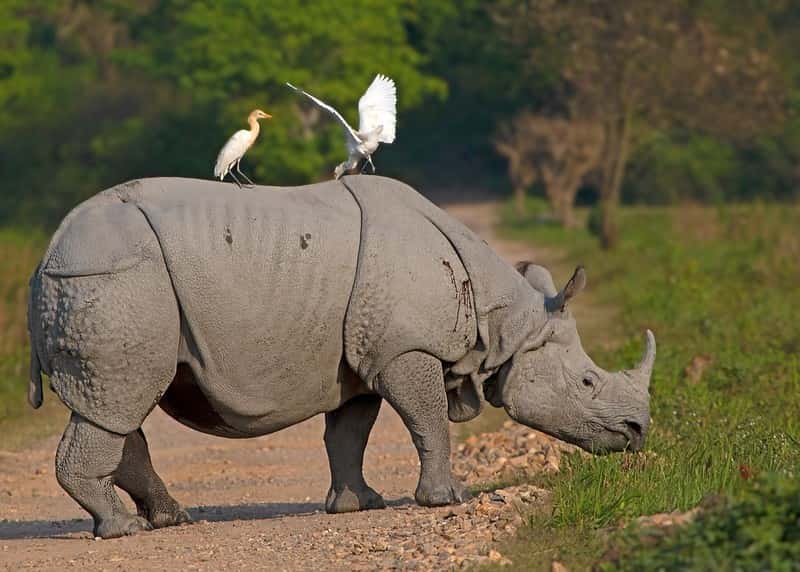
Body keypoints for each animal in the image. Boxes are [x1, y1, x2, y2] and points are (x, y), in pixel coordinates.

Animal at [27, 176, 654, 539]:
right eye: (588, 383)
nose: (638, 431)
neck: (506, 322)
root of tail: (47, 253)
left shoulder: (362, 360)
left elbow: (349, 433)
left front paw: (359, 505)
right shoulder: (404, 348)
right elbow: (428, 421)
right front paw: (444, 500)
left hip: (112, 286)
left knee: (117, 406)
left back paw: (168, 520)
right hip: (117, 280)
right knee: (120, 400)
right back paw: (122, 530)